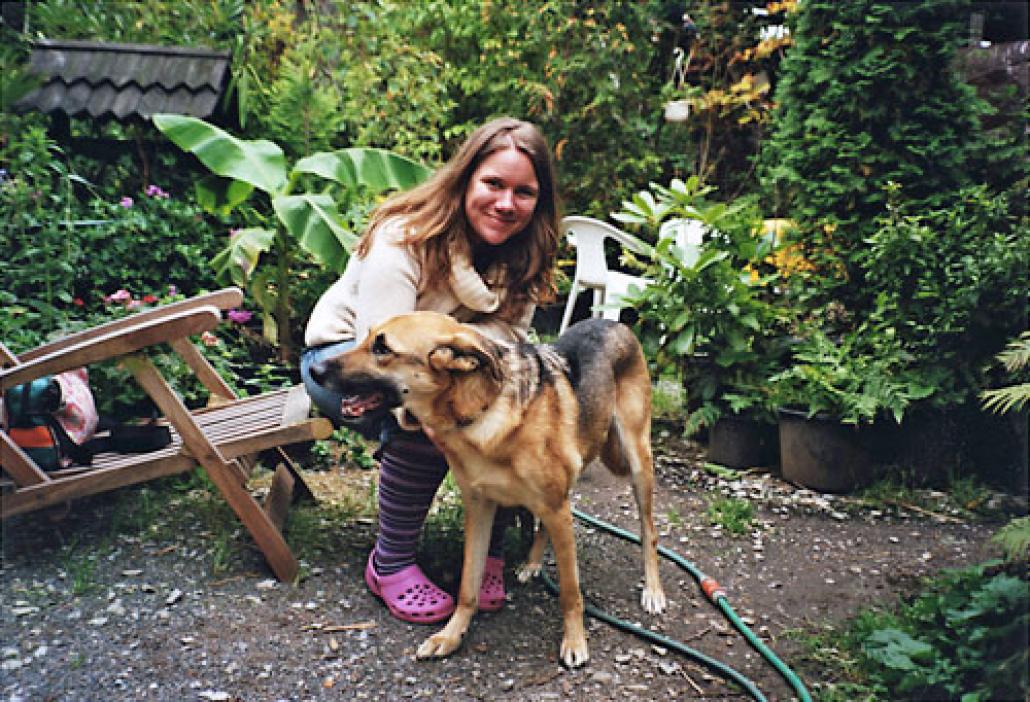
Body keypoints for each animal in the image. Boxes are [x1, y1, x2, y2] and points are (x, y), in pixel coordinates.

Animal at [309, 312, 667, 667]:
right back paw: (532, 564)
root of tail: (613, 322)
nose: (314, 371)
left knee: (648, 531)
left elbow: (570, 591)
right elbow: (469, 584)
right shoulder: (482, 507)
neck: (483, 408)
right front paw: (451, 635)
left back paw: (653, 591)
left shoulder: (554, 507)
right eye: (367, 337)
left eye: (382, 348)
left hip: (637, 463)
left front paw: (575, 641)